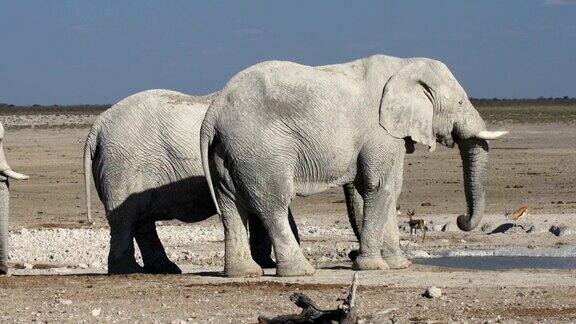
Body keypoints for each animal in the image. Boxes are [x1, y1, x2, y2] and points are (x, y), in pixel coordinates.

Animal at [85, 90, 302, 274]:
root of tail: (98, 126)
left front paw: (267, 264)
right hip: (124, 165)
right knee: (125, 219)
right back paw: (129, 270)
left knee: (140, 219)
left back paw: (165, 269)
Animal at [200, 54, 506, 278]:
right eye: (460, 102)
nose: (461, 219)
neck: (405, 64)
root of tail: (213, 114)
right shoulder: (379, 131)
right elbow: (381, 187)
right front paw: (374, 267)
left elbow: (384, 190)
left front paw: (398, 265)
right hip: (261, 150)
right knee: (273, 204)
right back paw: (301, 272)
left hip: (229, 152)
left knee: (230, 205)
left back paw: (243, 274)